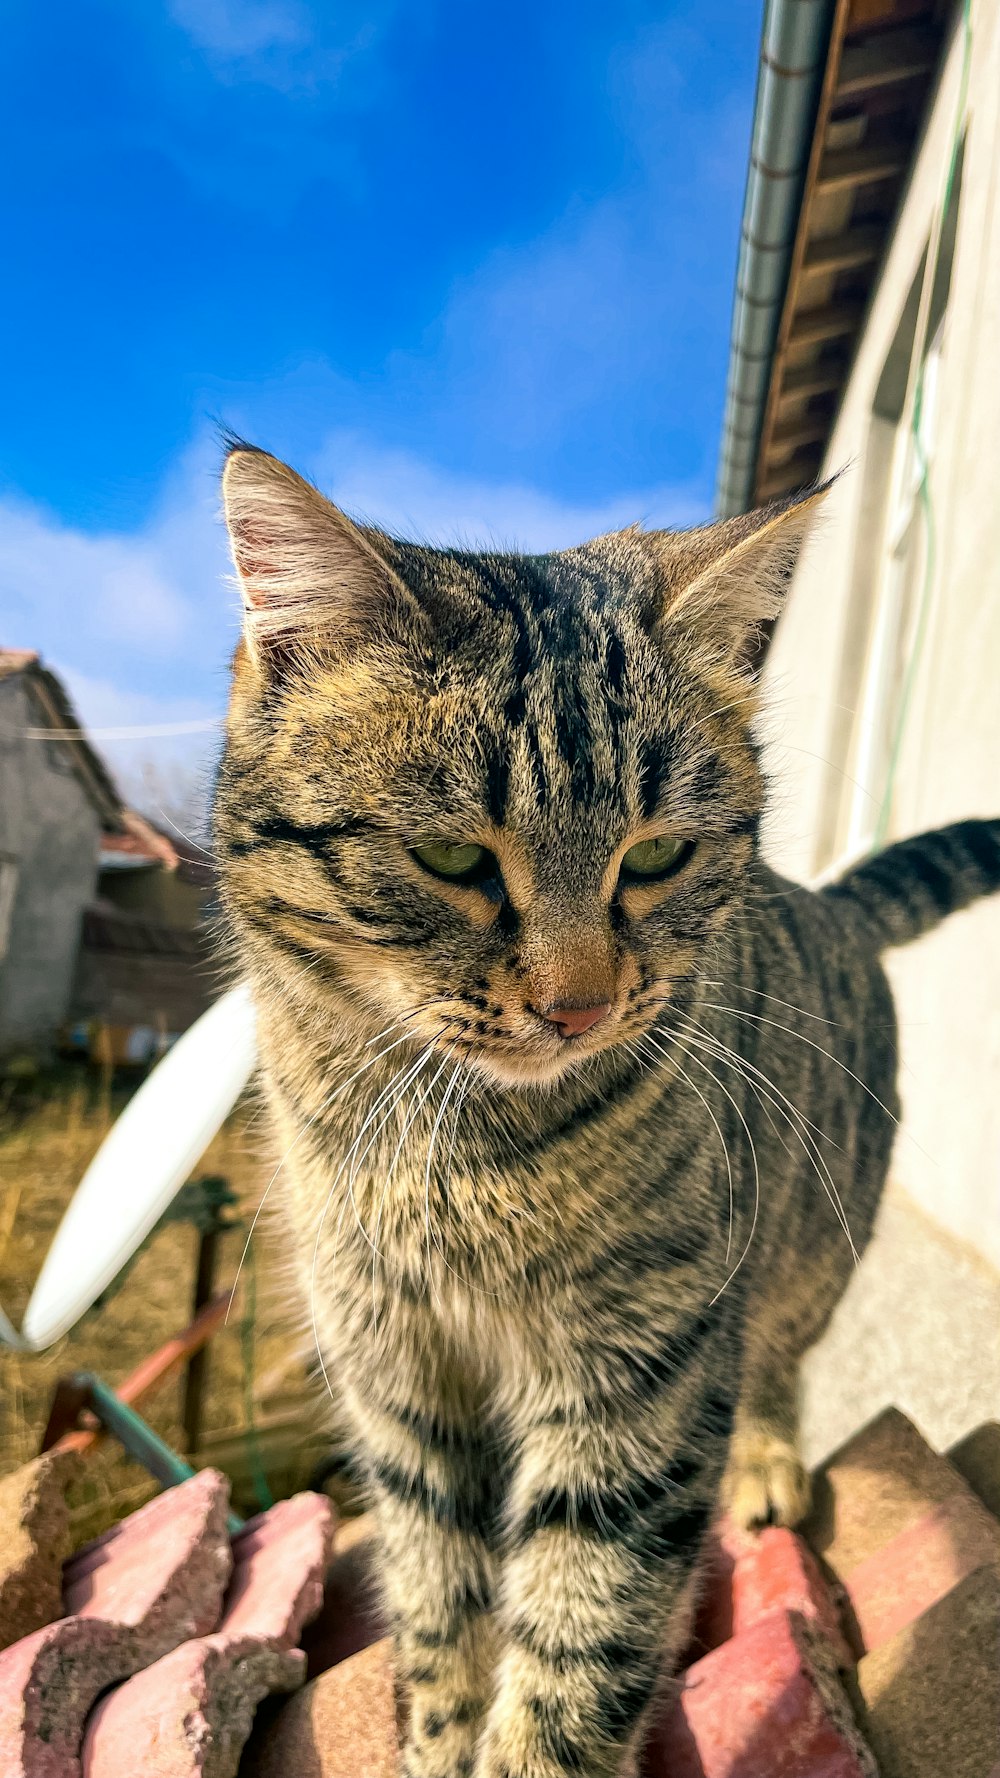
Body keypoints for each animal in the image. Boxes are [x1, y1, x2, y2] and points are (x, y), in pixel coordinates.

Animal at [211, 433, 996, 1778]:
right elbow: (440, 1611)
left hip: (800, 1253)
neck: (458, 1150)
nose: (577, 1006)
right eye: (452, 859)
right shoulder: (395, 1375)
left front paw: (528, 1741)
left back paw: (768, 1461)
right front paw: (439, 1736)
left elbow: (580, 1643)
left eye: (657, 854)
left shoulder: (639, 1372)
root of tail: (834, 901)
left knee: (779, 1358)